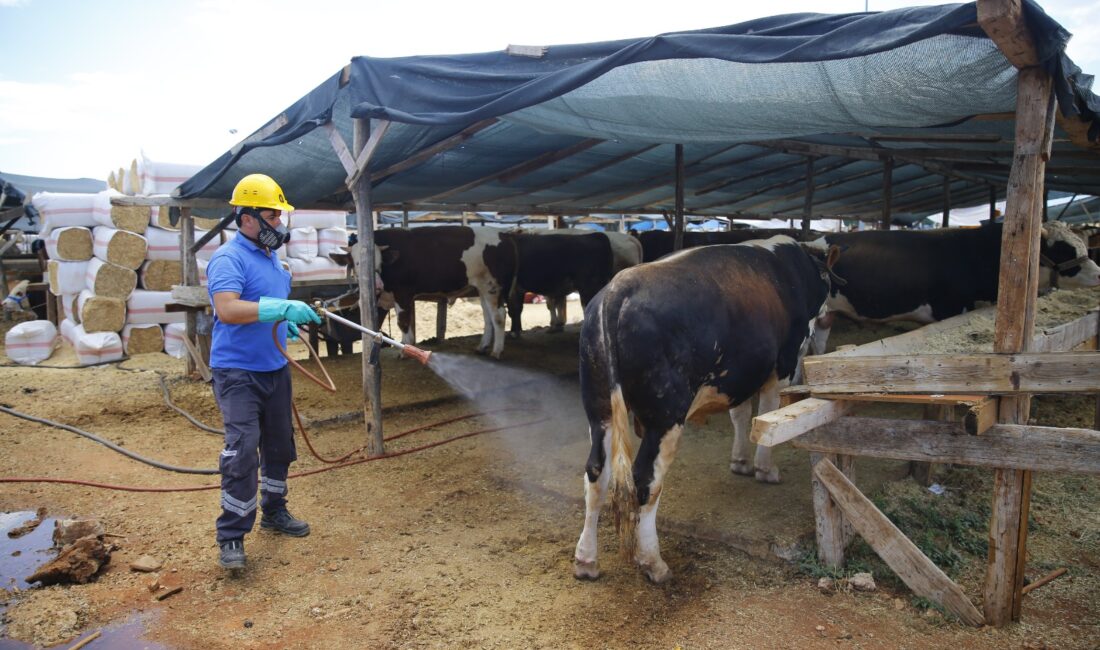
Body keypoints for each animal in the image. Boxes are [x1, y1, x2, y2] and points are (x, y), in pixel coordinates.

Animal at [572, 236, 836, 580]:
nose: (829, 316)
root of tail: (618, 289)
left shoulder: (737, 376)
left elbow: (740, 415)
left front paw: (741, 462)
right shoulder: (781, 365)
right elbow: (767, 413)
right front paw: (765, 469)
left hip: (599, 407)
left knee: (596, 474)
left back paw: (586, 560)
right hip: (665, 417)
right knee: (645, 480)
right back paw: (653, 561)